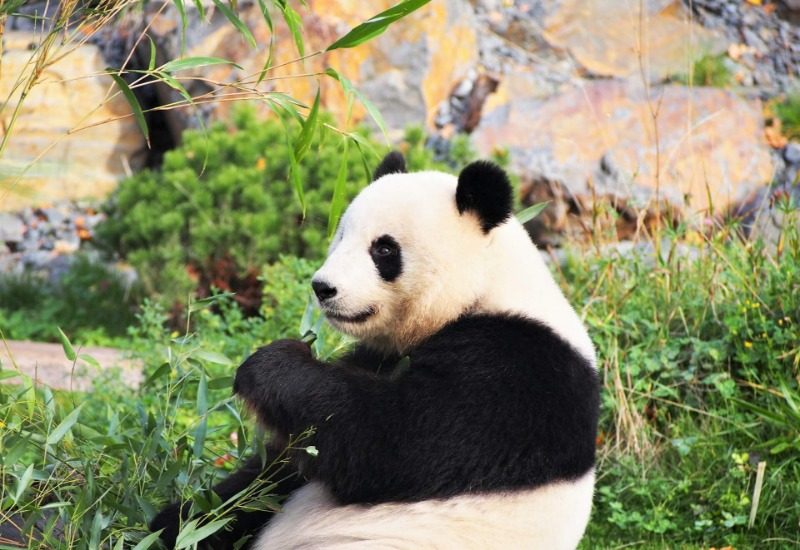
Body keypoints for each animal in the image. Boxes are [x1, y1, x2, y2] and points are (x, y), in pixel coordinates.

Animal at [152, 153, 600, 548]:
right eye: (341, 235)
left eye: (384, 249)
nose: (323, 288)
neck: (486, 288)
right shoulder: (381, 355)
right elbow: (274, 475)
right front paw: (178, 520)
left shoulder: (518, 369)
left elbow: (394, 440)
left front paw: (272, 364)